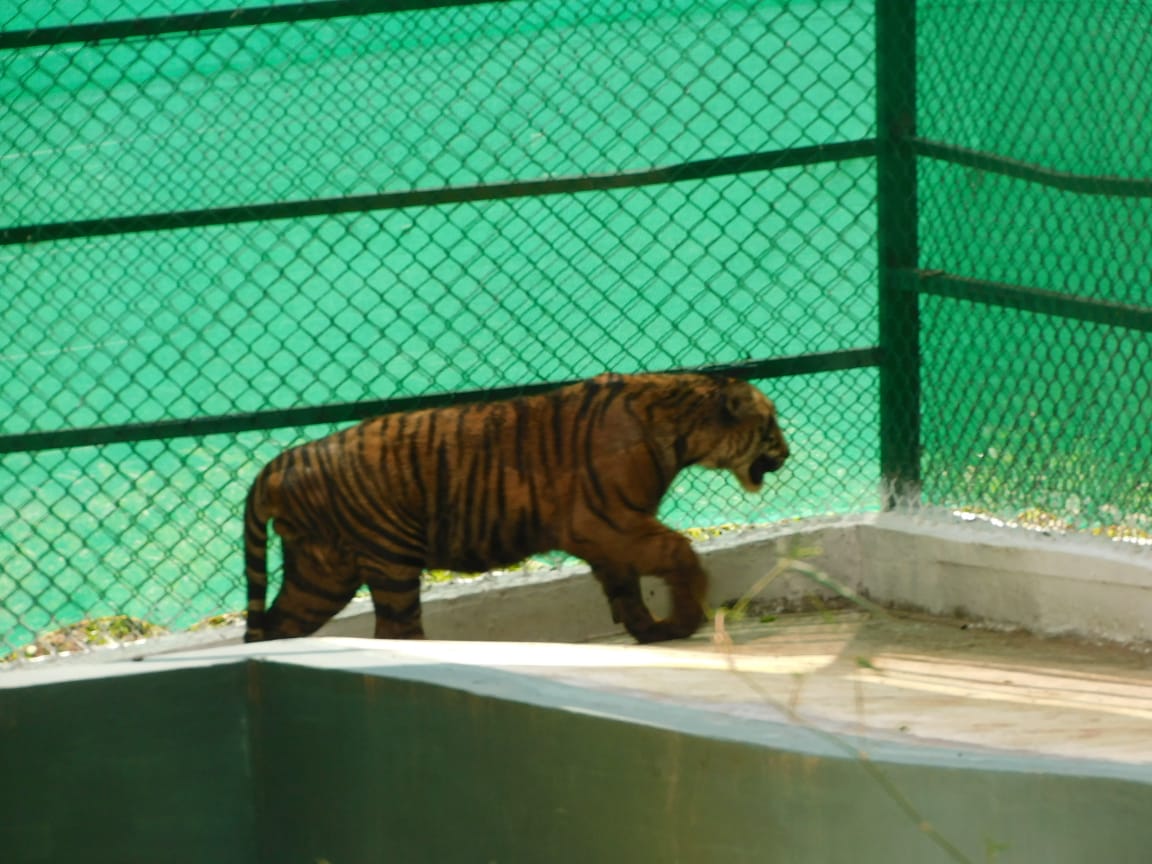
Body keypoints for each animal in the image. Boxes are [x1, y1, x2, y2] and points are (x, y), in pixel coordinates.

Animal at [239, 368, 787, 645]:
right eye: (771, 424)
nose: (786, 452)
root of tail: (281, 462)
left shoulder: (604, 536)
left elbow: (624, 586)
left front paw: (649, 631)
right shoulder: (610, 522)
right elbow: (681, 555)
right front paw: (682, 622)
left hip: (322, 574)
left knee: (277, 626)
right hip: (389, 559)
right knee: (395, 630)